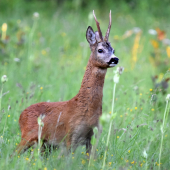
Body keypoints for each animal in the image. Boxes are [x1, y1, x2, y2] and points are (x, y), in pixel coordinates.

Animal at [16, 10, 119, 154]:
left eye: (113, 50)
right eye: (100, 50)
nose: (115, 59)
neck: (86, 109)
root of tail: (21, 115)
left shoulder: (94, 136)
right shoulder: (71, 135)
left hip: (45, 145)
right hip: (27, 136)